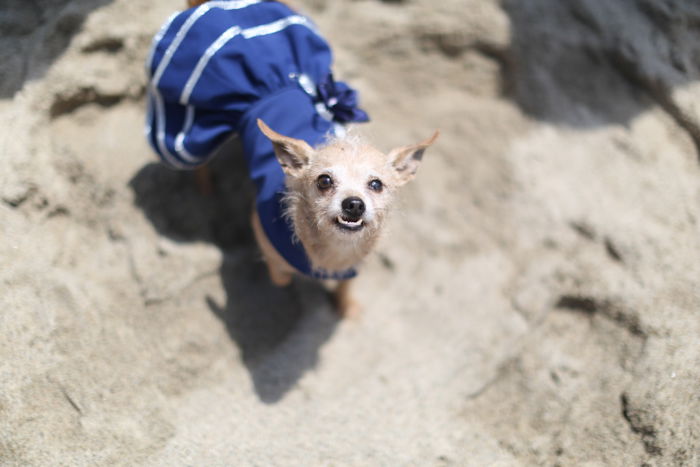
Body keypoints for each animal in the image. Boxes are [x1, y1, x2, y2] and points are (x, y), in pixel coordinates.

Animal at [254, 119, 438, 318]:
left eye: (376, 184)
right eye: (324, 181)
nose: (355, 204)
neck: (338, 248)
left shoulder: (354, 266)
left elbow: (346, 284)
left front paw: (345, 305)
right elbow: (281, 278)